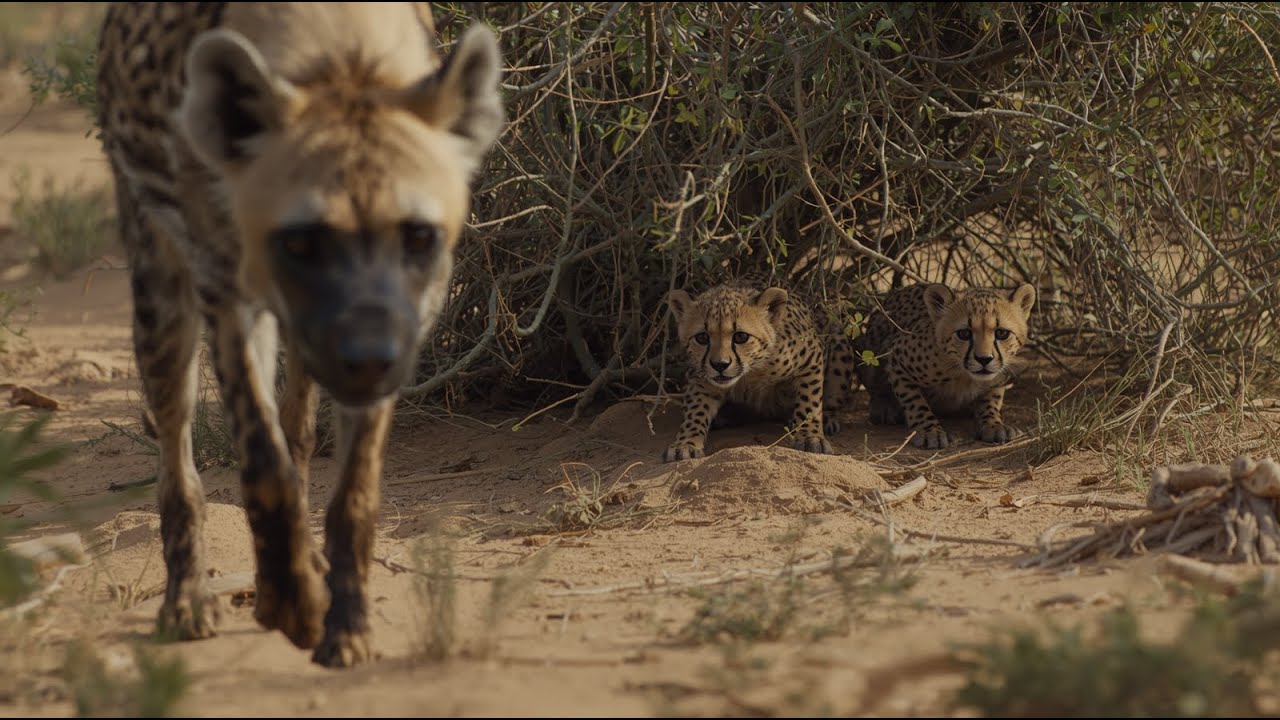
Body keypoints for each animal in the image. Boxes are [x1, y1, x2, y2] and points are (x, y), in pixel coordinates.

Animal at [96, 2, 503, 667]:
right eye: (300, 241)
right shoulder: (227, 293)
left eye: (418, 236)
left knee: (299, 426)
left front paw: (347, 624)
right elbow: (264, 464)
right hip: (162, 301)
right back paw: (188, 601)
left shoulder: (399, 330)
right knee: (179, 459)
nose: (368, 356)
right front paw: (292, 606)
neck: (341, 57)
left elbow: (353, 493)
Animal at [662, 277, 859, 462]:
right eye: (702, 337)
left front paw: (809, 436)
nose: (720, 365)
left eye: (741, 336)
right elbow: (696, 412)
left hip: (840, 350)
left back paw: (825, 419)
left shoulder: (811, 357)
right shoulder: (701, 376)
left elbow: (809, 402)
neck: (750, 373)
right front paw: (685, 443)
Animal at [853, 282, 1037, 450]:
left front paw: (994, 424)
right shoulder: (896, 357)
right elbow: (914, 401)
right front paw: (930, 431)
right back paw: (884, 408)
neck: (965, 375)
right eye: (964, 333)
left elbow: (991, 398)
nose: (984, 359)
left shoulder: (998, 374)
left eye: (1002, 333)